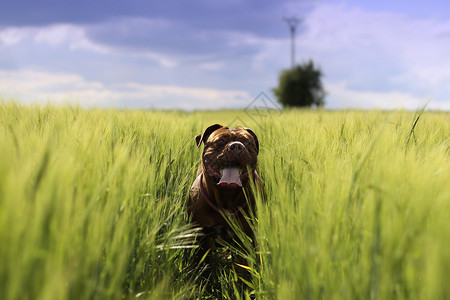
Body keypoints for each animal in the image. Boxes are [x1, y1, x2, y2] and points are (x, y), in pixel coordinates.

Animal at [187, 123, 264, 260]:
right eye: (220, 141)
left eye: (247, 142)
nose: (237, 146)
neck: (226, 196)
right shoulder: (202, 237)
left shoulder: (247, 238)